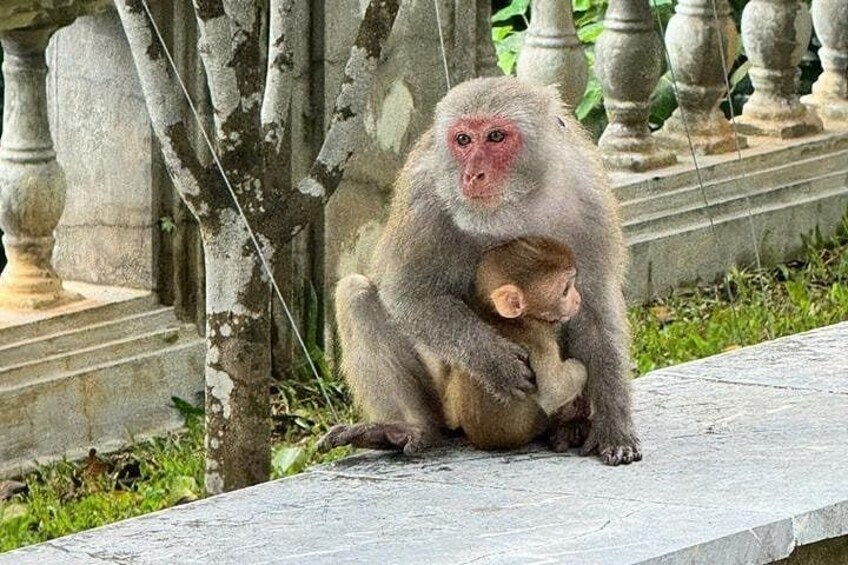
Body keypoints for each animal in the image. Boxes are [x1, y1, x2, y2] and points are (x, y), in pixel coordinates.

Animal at [441, 236, 590, 451]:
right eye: (565, 290)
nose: (577, 299)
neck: (507, 320)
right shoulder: (540, 339)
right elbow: (554, 391)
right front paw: (579, 367)